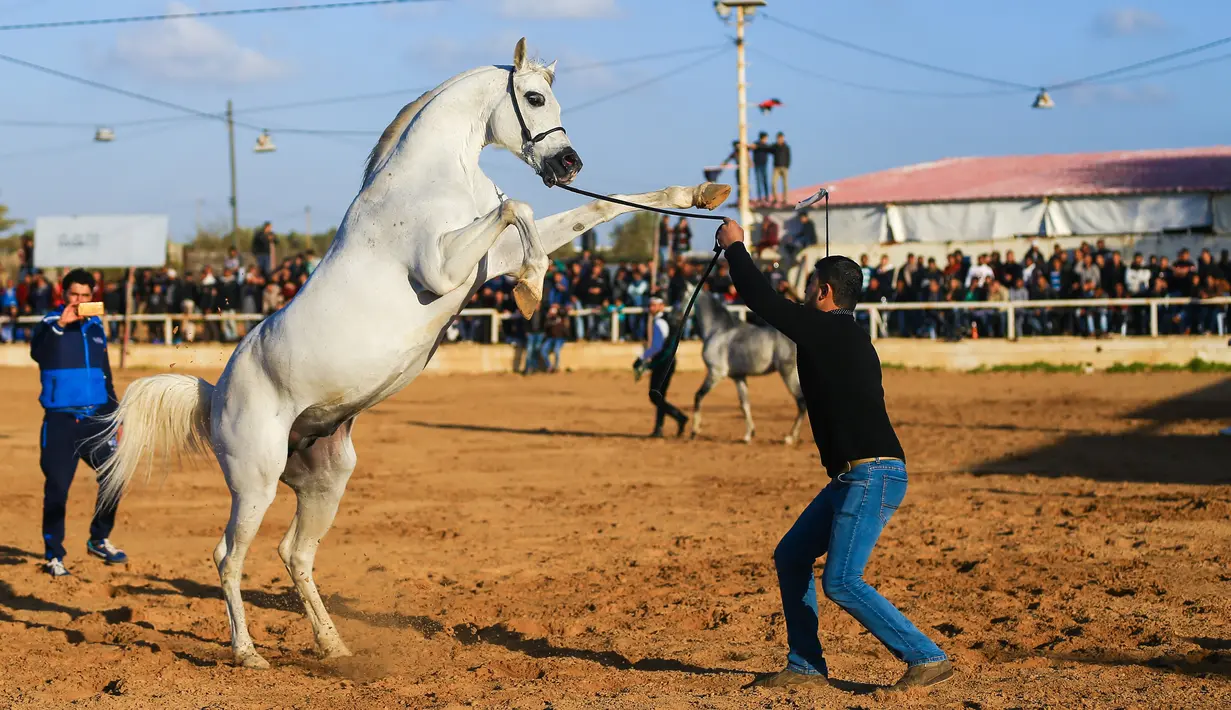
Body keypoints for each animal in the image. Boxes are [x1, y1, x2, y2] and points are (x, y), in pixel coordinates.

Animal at [93, 38, 730, 670]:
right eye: (533, 97)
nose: (568, 164)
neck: (432, 179)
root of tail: (214, 393)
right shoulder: (446, 268)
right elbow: (520, 207)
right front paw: (532, 288)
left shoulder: (487, 262)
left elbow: (598, 208)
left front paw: (699, 194)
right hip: (255, 483)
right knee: (229, 557)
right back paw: (249, 654)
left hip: (325, 480)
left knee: (295, 554)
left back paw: (333, 645)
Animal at [687, 284, 807, 444]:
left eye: (680, 296)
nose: (673, 317)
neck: (719, 330)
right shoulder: (739, 377)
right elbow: (744, 404)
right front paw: (749, 435)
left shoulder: (715, 373)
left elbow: (698, 396)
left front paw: (694, 431)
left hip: (789, 373)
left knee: (801, 402)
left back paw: (790, 437)